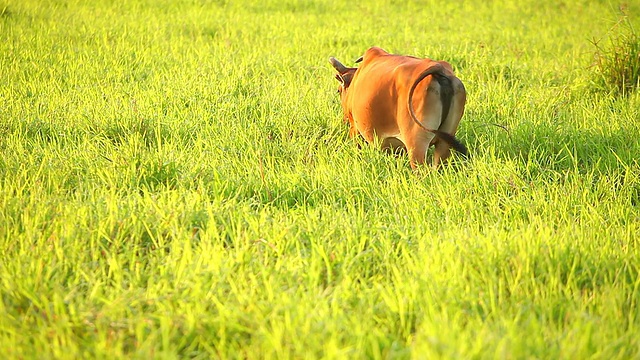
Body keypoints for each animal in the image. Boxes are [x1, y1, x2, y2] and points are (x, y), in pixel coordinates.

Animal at [328, 47, 468, 169]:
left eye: (338, 90)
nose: (344, 120)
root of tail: (439, 69)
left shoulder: (355, 129)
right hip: (445, 141)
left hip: (416, 143)